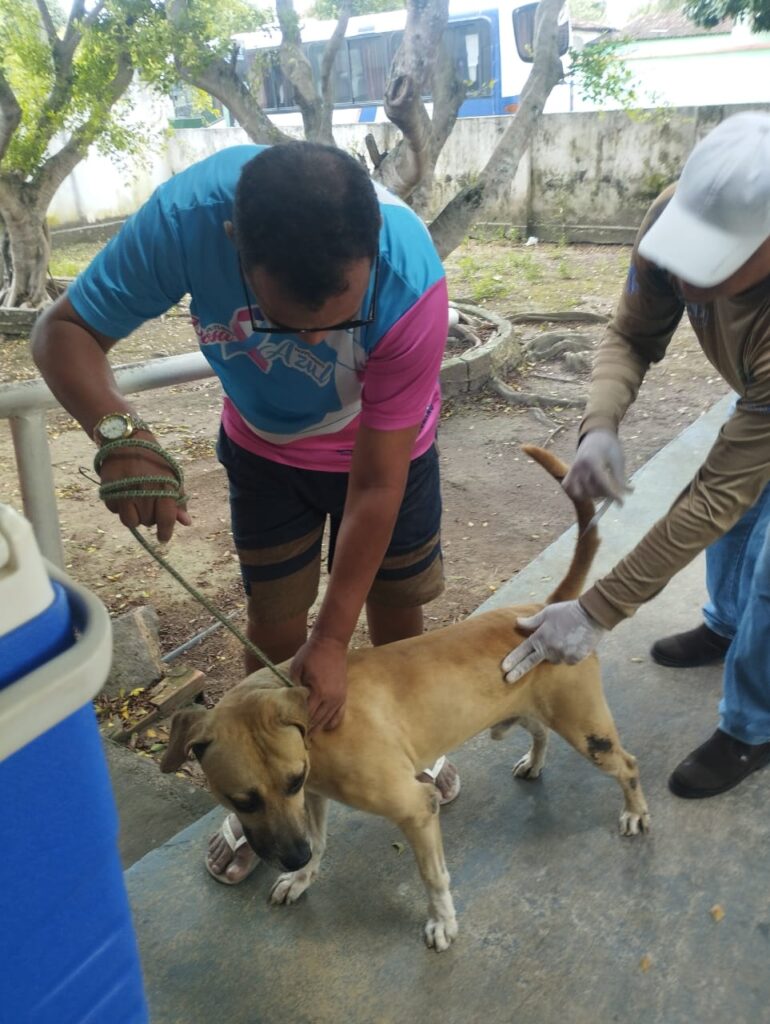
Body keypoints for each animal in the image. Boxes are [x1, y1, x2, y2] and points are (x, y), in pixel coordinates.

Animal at [161, 445, 649, 951]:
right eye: (241, 801)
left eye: (291, 782)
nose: (292, 858)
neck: (317, 727)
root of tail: (542, 610)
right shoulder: (313, 800)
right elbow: (320, 840)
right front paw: (302, 878)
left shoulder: (413, 807)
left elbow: (432, 875)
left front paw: (442, 922)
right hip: (523, 709)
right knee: (538, 732)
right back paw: (534, 763)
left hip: (587, 730)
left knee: (627, 764)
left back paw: (635, 812)